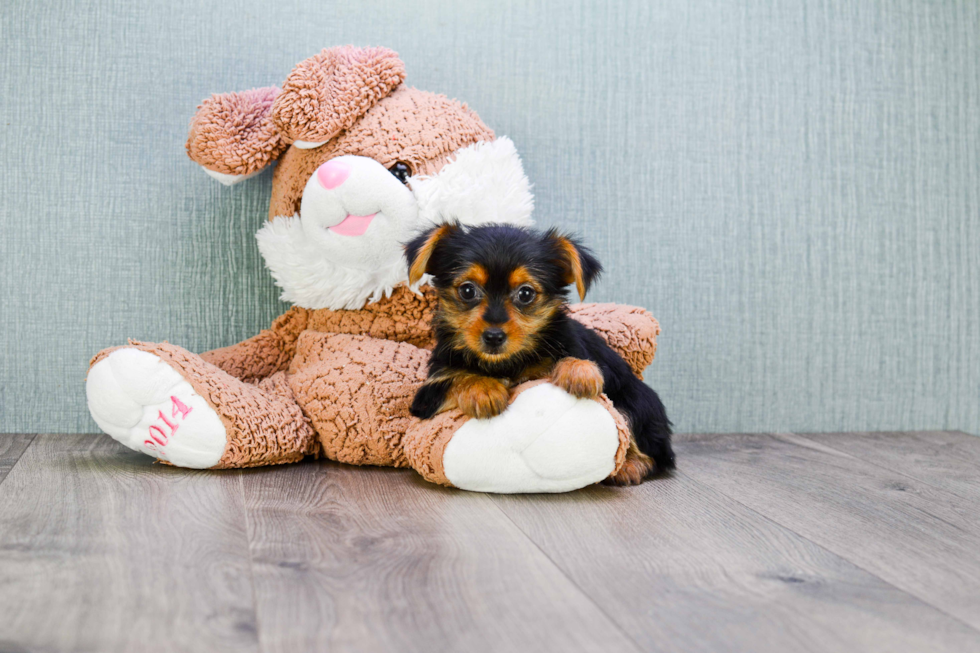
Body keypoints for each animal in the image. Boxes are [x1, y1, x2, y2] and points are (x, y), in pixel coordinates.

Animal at [406, 224, 672, 484]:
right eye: (467, 290)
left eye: (525, 294)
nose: (493, 336)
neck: (505, 363)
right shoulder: (428, 394)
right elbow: (458, 377)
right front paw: (483, 389)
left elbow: (572, 360)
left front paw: (580, 371)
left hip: (634, 403)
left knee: (652, 452)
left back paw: (630, 466)